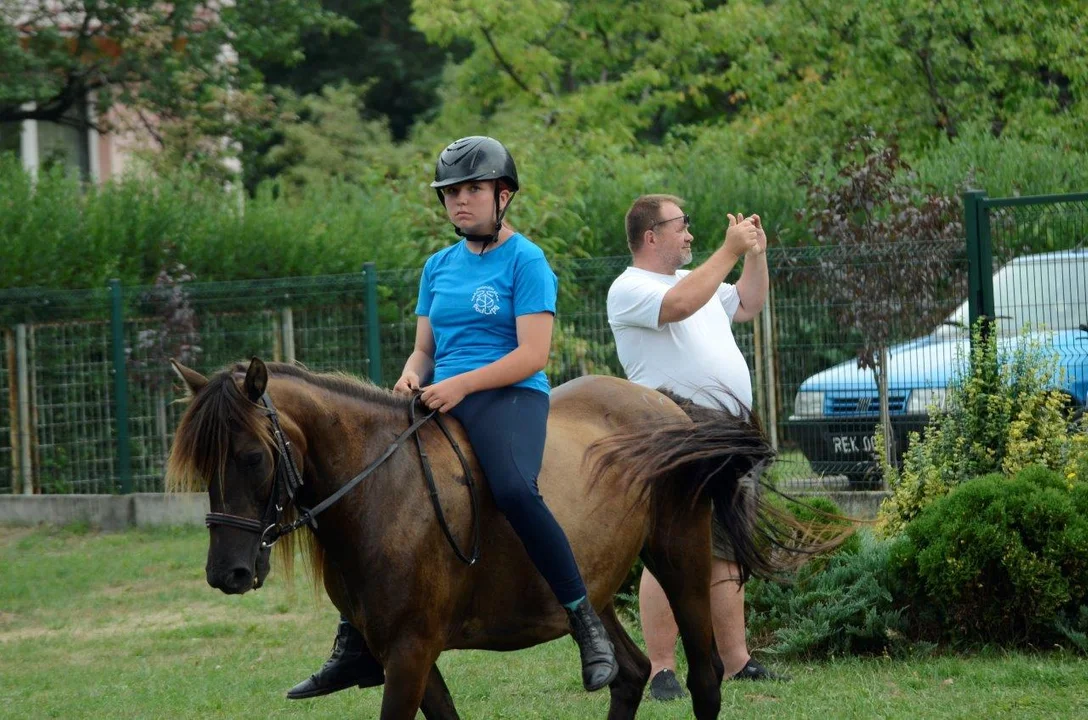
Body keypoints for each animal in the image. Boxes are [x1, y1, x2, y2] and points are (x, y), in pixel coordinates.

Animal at [165, 361, 783, 720]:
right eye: (202, 466)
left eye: (252, 457)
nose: (227, 574)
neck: (382, 488)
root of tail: (663, 403)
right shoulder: (405, 652)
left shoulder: (411, 652)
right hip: (595, 586)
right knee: (627, 675)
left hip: (681, 558)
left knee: (704, 678)